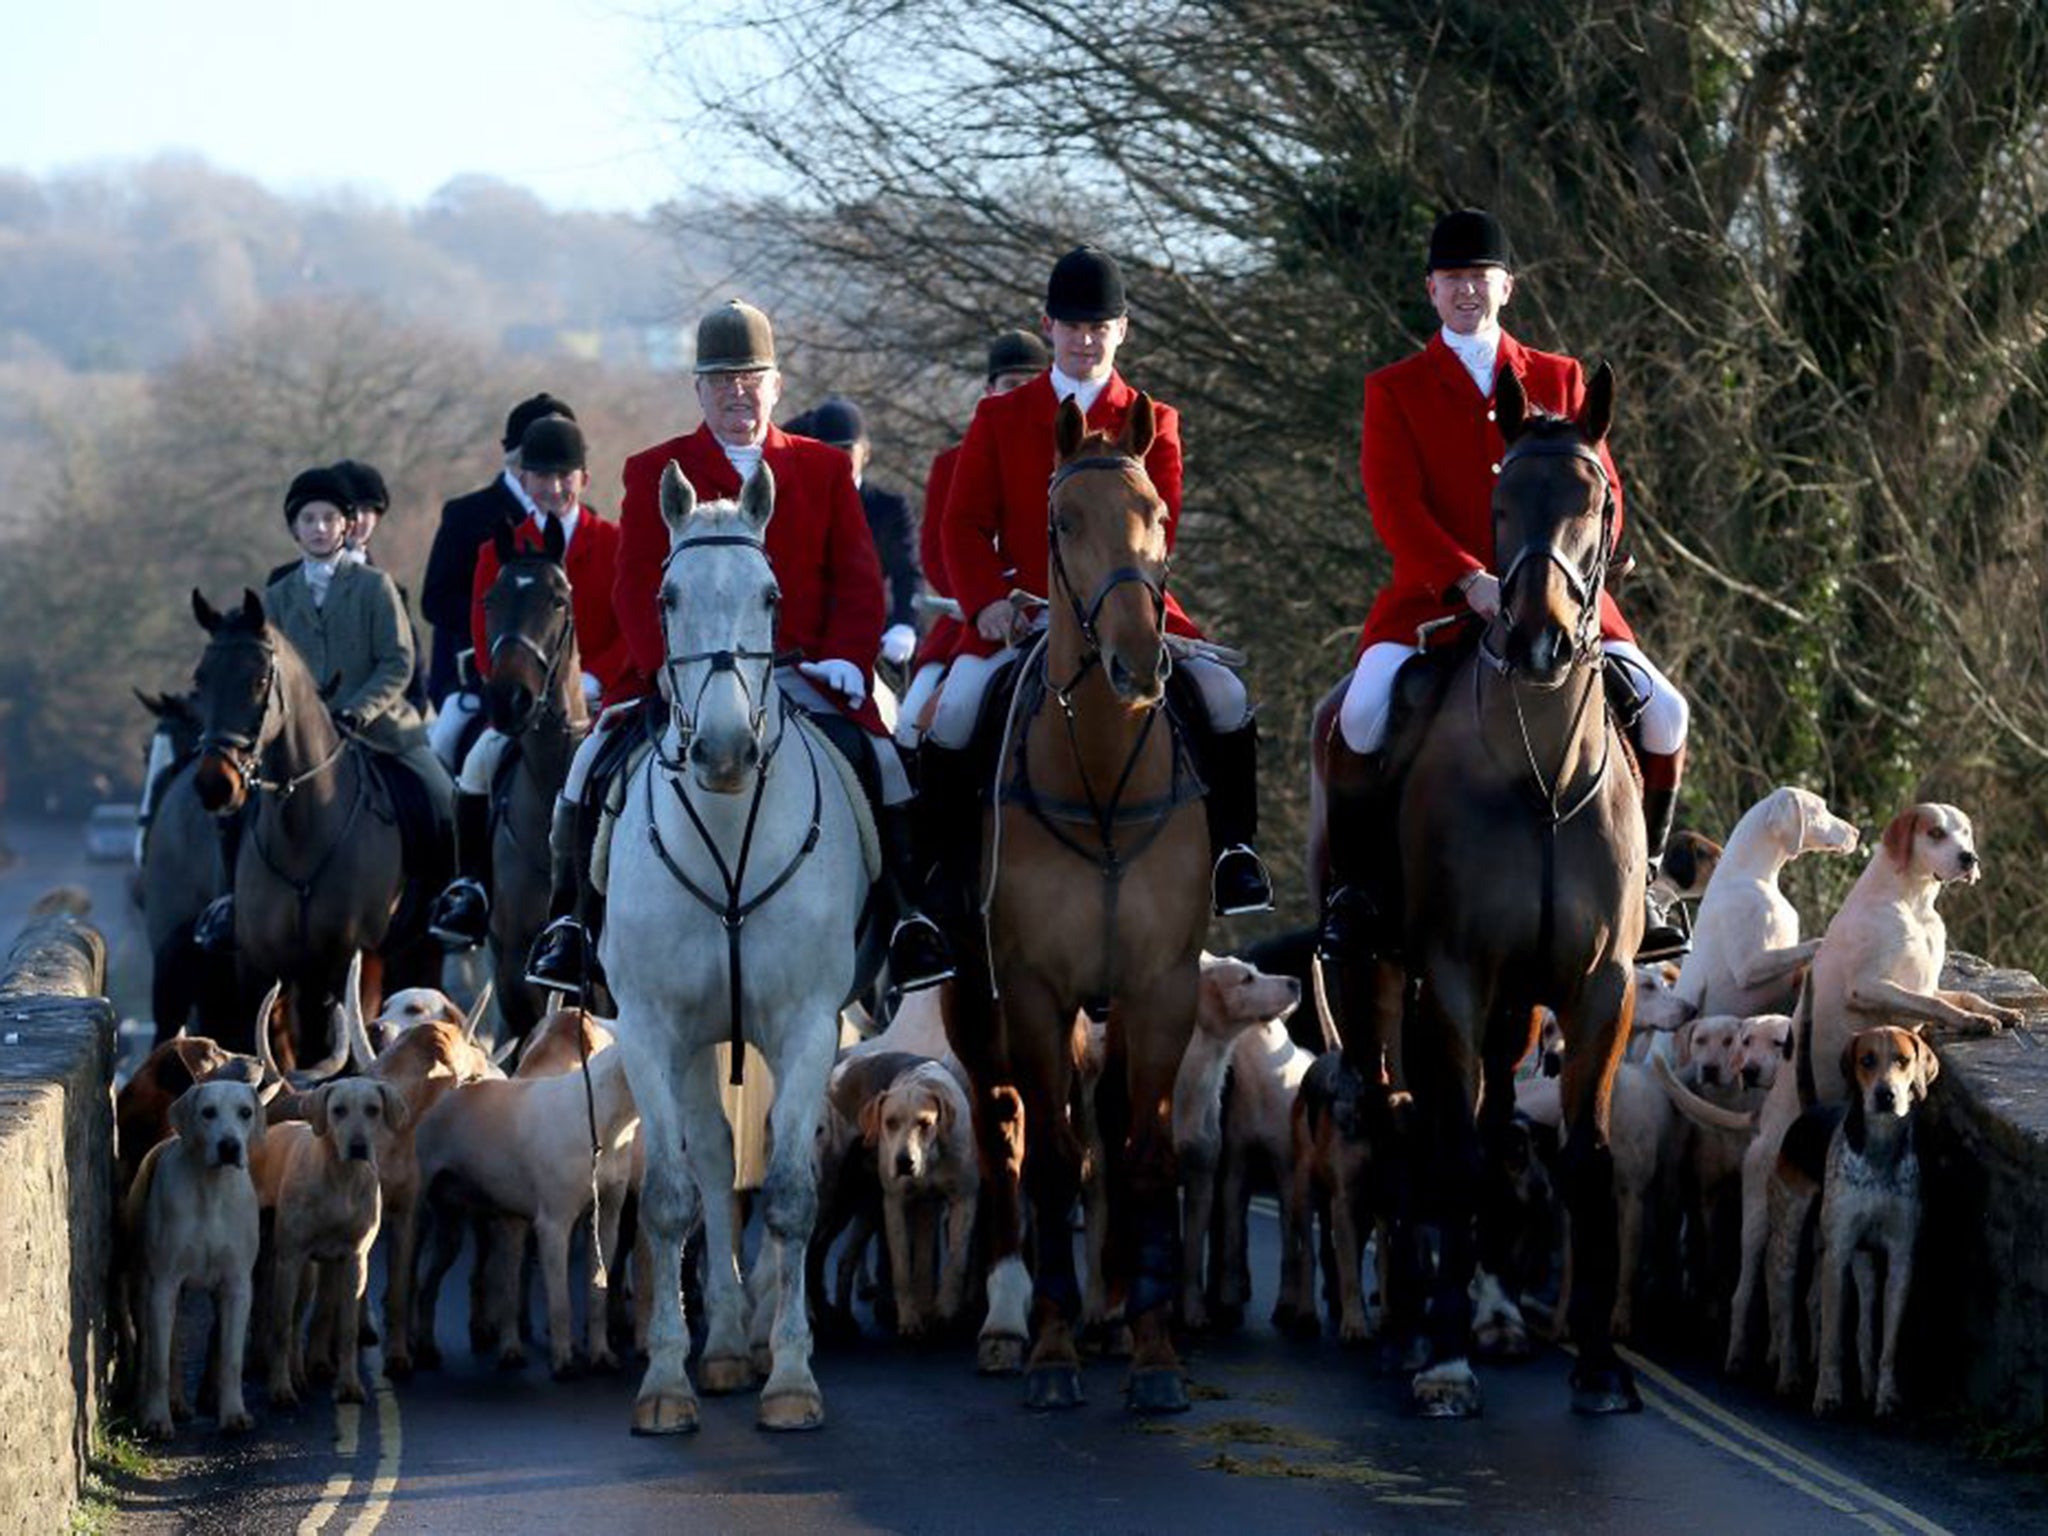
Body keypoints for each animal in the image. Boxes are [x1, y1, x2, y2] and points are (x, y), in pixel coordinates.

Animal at [193, 589, 409, 1073]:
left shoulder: (350, 964)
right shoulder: (262, 969)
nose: (215, 784)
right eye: (200, 681)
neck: (301, 833)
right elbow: (273, 1052)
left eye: (258, 681)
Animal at [593, 462, 864, 1441]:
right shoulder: (650, 1029)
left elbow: (788, 1194)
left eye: (771, 596)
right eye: (666, 597)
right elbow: (673, 1199)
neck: (725, 818)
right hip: (698, 1040)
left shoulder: (808, 1023)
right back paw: (720, 1345)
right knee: (711, 1160)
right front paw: (668, 1378)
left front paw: (791, 1377)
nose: (721, 749)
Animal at [946, 397, 1212, 1417]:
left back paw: (1109, 1310)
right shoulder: (1031, 991)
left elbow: (1144, 1152)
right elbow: (1053, 1159)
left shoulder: (1162, 988)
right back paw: (1011, 1319)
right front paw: (1052, 1353)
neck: (1098, 769)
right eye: (1062, 524)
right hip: (979, 1011)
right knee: (1007, 1134)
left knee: (1103, 1120)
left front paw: (1154, 1351)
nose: (1139, 661)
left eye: (1158, 515)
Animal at [1318, 360, 1638, 1417]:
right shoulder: (1453, 974)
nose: (1539, 638)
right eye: (1500, 504)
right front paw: (1445, 1360)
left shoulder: (1600, 986)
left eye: (1597, 500)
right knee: (1391, 1112)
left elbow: (1582, 1154)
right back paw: (1407, 1331)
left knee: (1497, 1122)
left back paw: (1494, 1313)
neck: (1540, 767)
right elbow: (1449, 1151)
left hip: (1516, 1006)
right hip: (1371, 969)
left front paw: (1599, 1365)